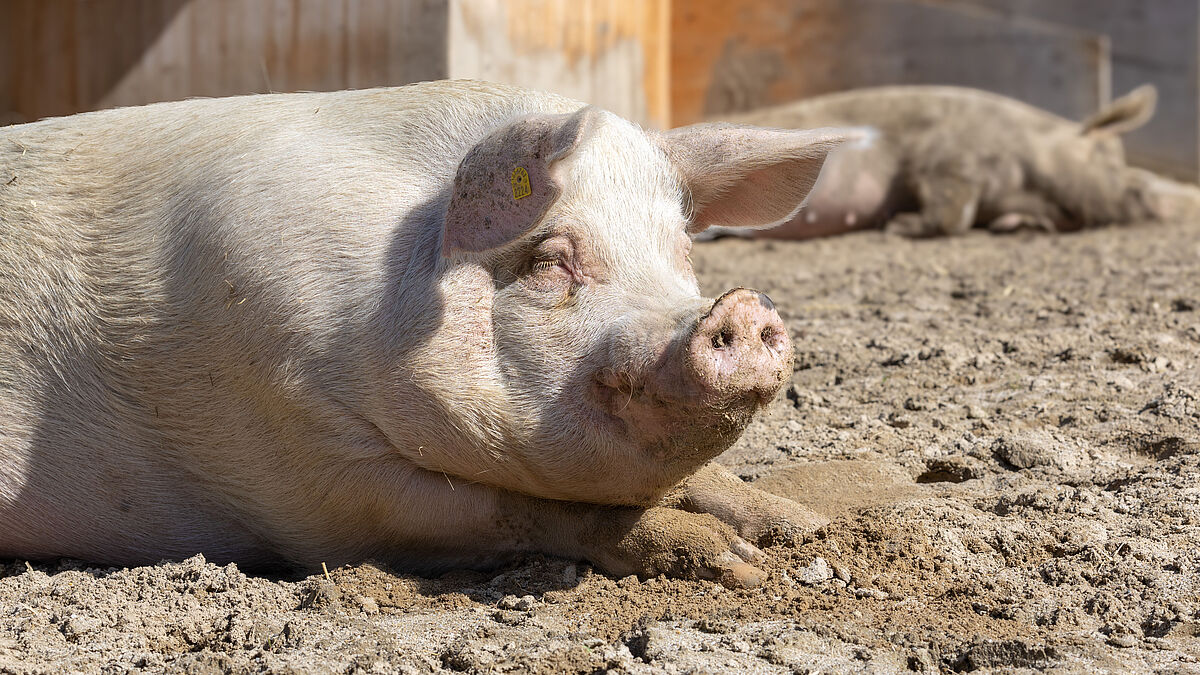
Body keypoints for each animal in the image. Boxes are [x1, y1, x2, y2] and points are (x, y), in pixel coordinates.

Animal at [0, 78, 854, 583]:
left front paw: (805, 526)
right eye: (549, 259)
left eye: (682, 251)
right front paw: (737, 563)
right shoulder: (308, 456)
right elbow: (527, 511)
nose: (740, 310)